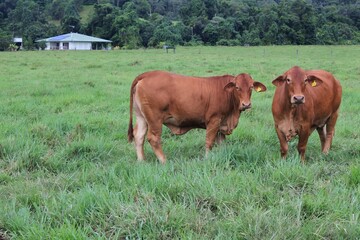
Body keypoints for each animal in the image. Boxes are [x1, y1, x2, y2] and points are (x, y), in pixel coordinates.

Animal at [128, 69, 266, 163]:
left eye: (251, 87)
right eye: (237, 87)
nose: (246, 104)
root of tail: (147, 74)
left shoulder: (221, 124)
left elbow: (221, 143)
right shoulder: (214, 120)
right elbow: (209, 142)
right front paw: (207, 158)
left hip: (142, 117)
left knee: (139, 136)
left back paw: (142, 161)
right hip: (155, 119)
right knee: (153, 138)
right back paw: (164, 161)